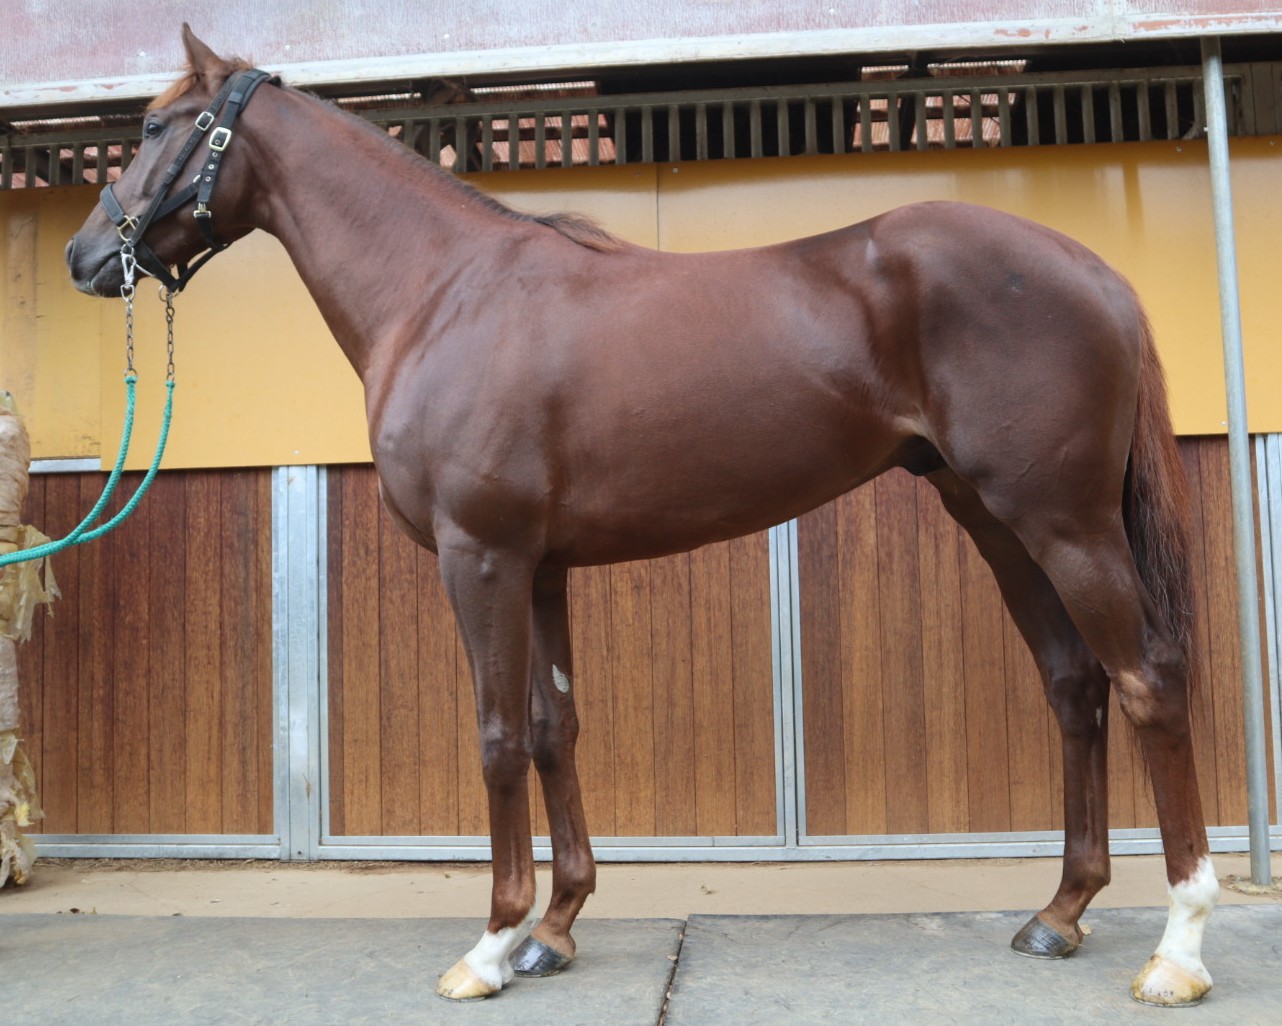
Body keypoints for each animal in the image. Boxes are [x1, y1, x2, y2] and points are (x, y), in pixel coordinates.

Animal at [66, 26, 1217, 1007]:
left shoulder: (479, 557)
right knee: (1074, 687)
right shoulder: (539, 566)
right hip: (996, 521)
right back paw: (1060, 912)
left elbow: (495, 736)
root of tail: (1095, 272)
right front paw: (555, 929)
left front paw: (490, 944)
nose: (84, 257)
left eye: (159, 126)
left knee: (1148, 684)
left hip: (1064, 523)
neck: (443, 293)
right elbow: (553, 727)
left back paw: (1178, 950)